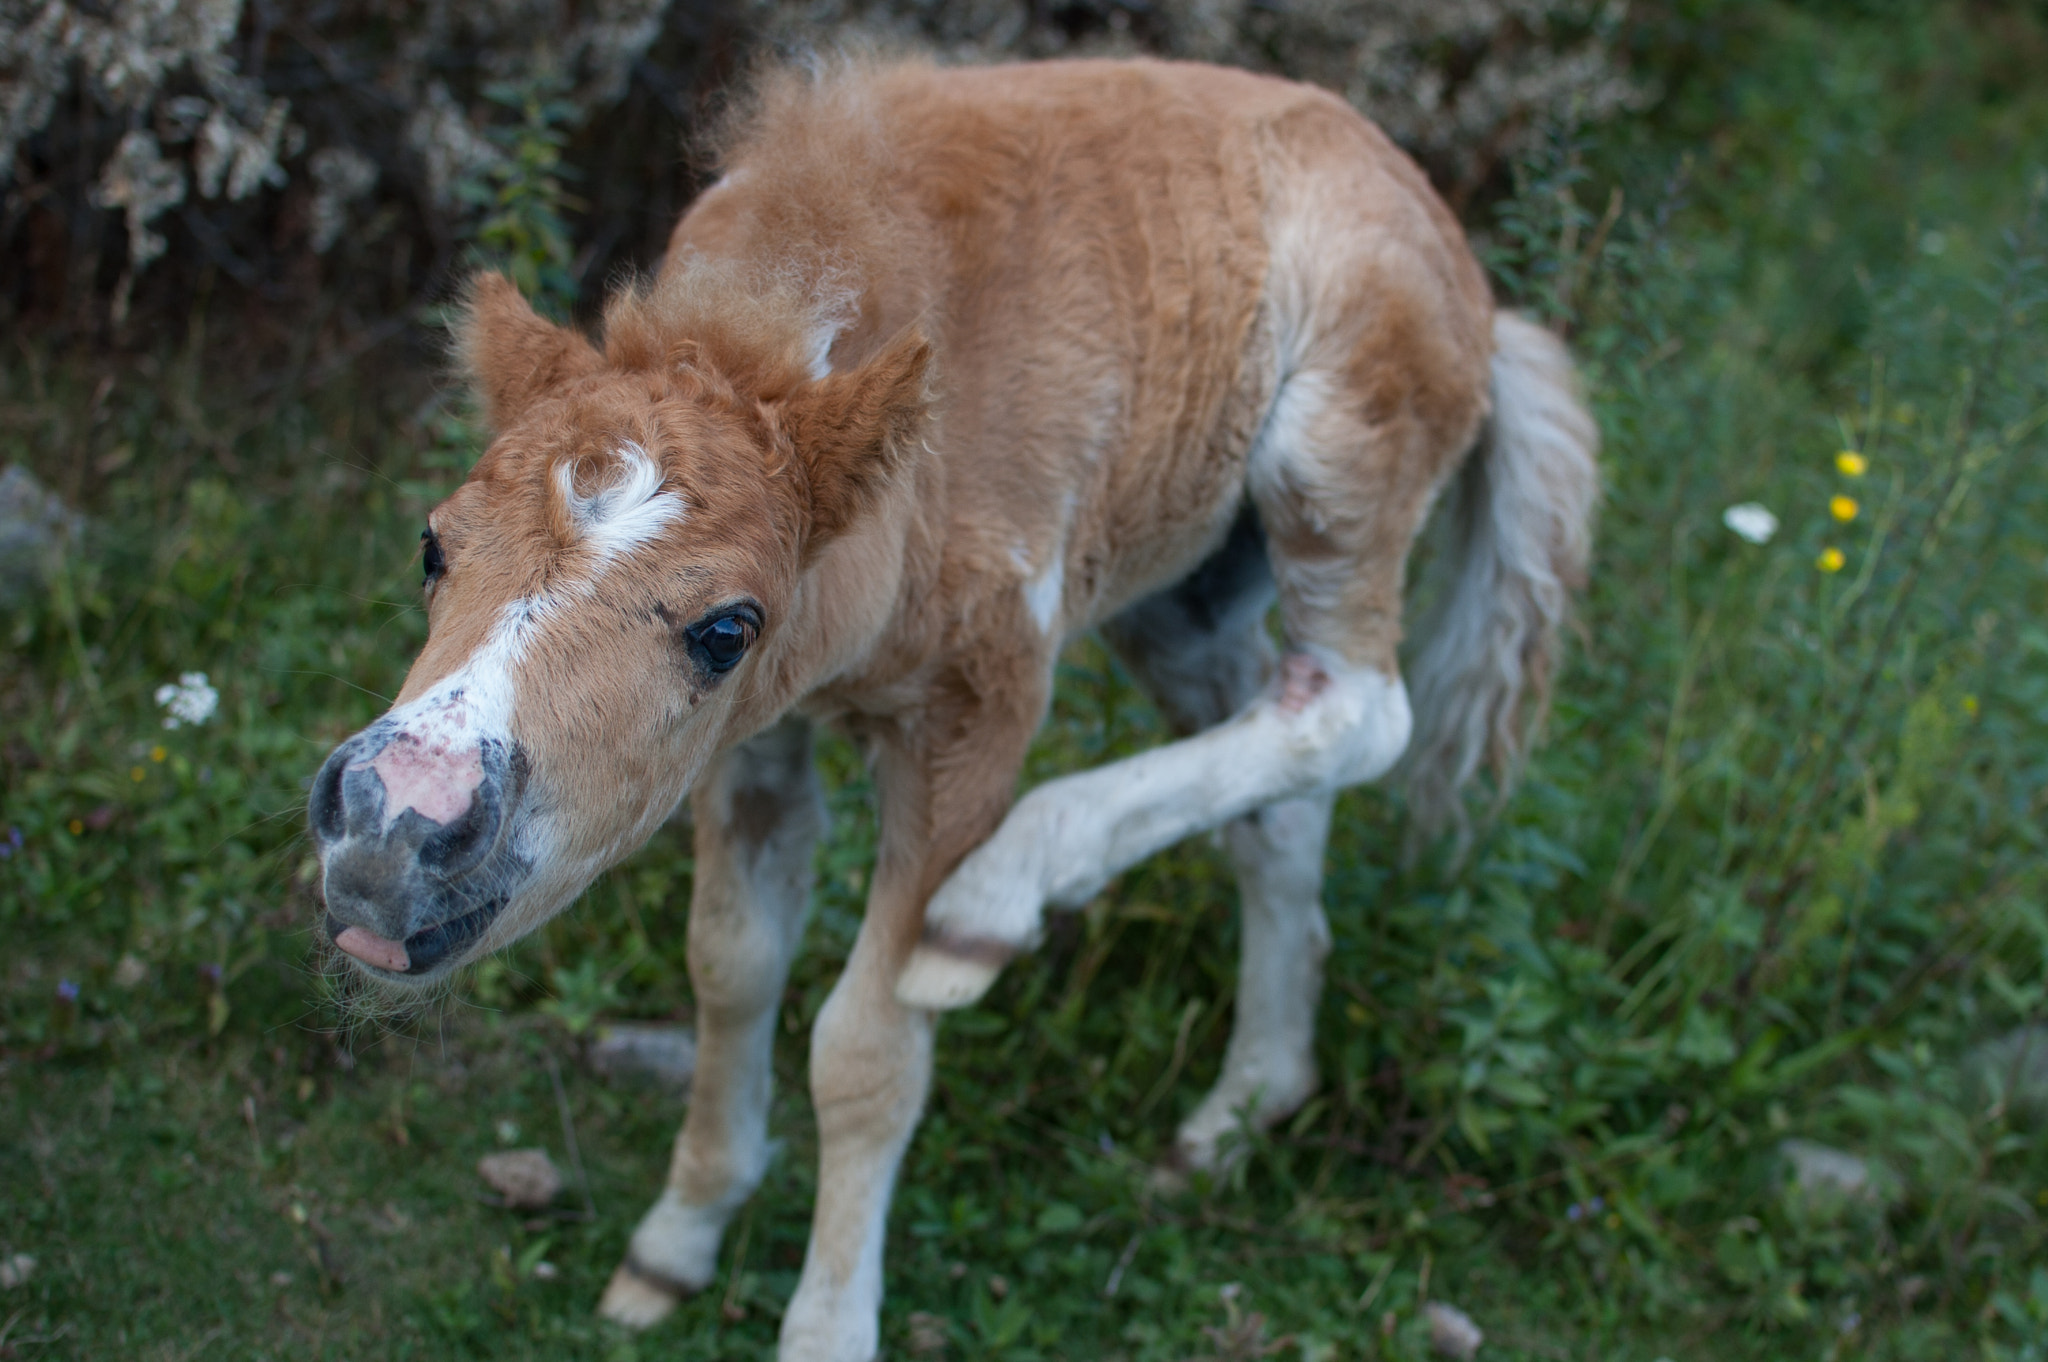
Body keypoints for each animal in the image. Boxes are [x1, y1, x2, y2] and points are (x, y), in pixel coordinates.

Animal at [303, 55, 1597, 1359]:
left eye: (724, 629)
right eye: (433, 546)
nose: (395, 822)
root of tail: (1475, 287)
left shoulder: (975, 715)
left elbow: (865, 1054)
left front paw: (823, 1327)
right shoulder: (749, 748)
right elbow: (731, 967)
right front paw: (677, 1239)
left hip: (1334, 461)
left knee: (1360, 710)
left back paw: (1001, 902)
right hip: (1179, 601)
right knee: (1278, 792)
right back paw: (1239, 1110)